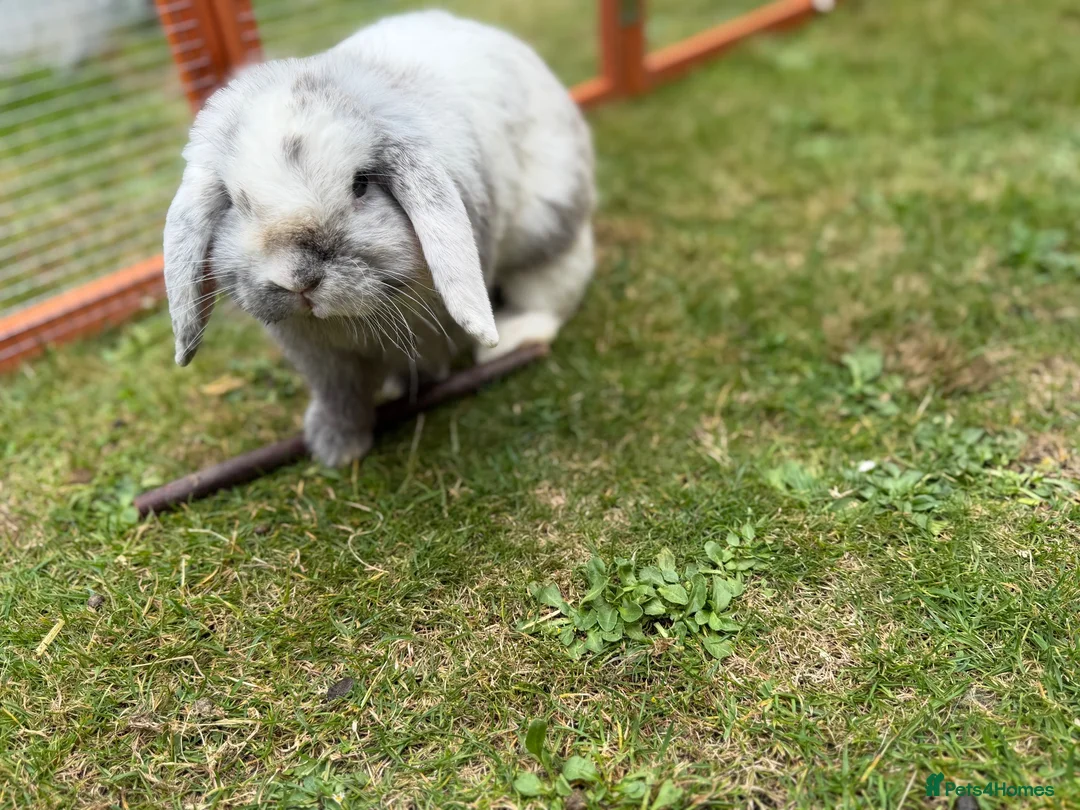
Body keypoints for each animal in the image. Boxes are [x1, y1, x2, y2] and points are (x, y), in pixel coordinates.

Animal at [163, 10, 595, 467]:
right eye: (233, 201)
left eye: (361, 184)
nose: (297, 279)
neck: (347, 322)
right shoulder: (321, 358)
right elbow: (341, 397)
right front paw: (336, 447)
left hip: (547, 222)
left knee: (552, 285)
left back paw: (511, 340)